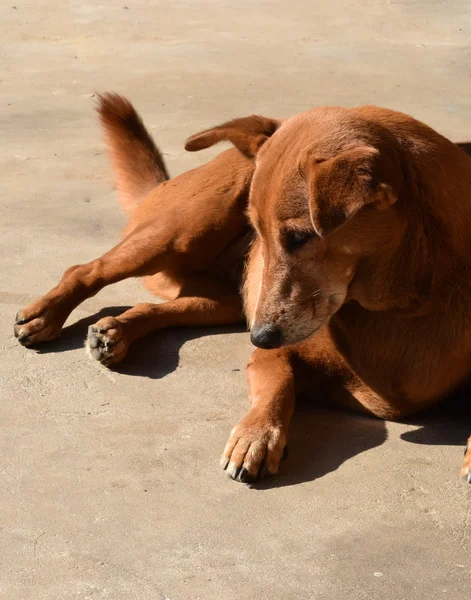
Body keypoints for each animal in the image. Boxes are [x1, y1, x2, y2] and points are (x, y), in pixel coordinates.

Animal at [13, 96, 471, 486]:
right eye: (258, 232)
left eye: (301, 237)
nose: (260, 336)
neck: (400, 306)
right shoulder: (275, 356)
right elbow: (278, 390)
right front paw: (255, 438)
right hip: (178, 232)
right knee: (85, 269)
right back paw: (45, 315)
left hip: (225, 304)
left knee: (174, 305)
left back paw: (117, 331)